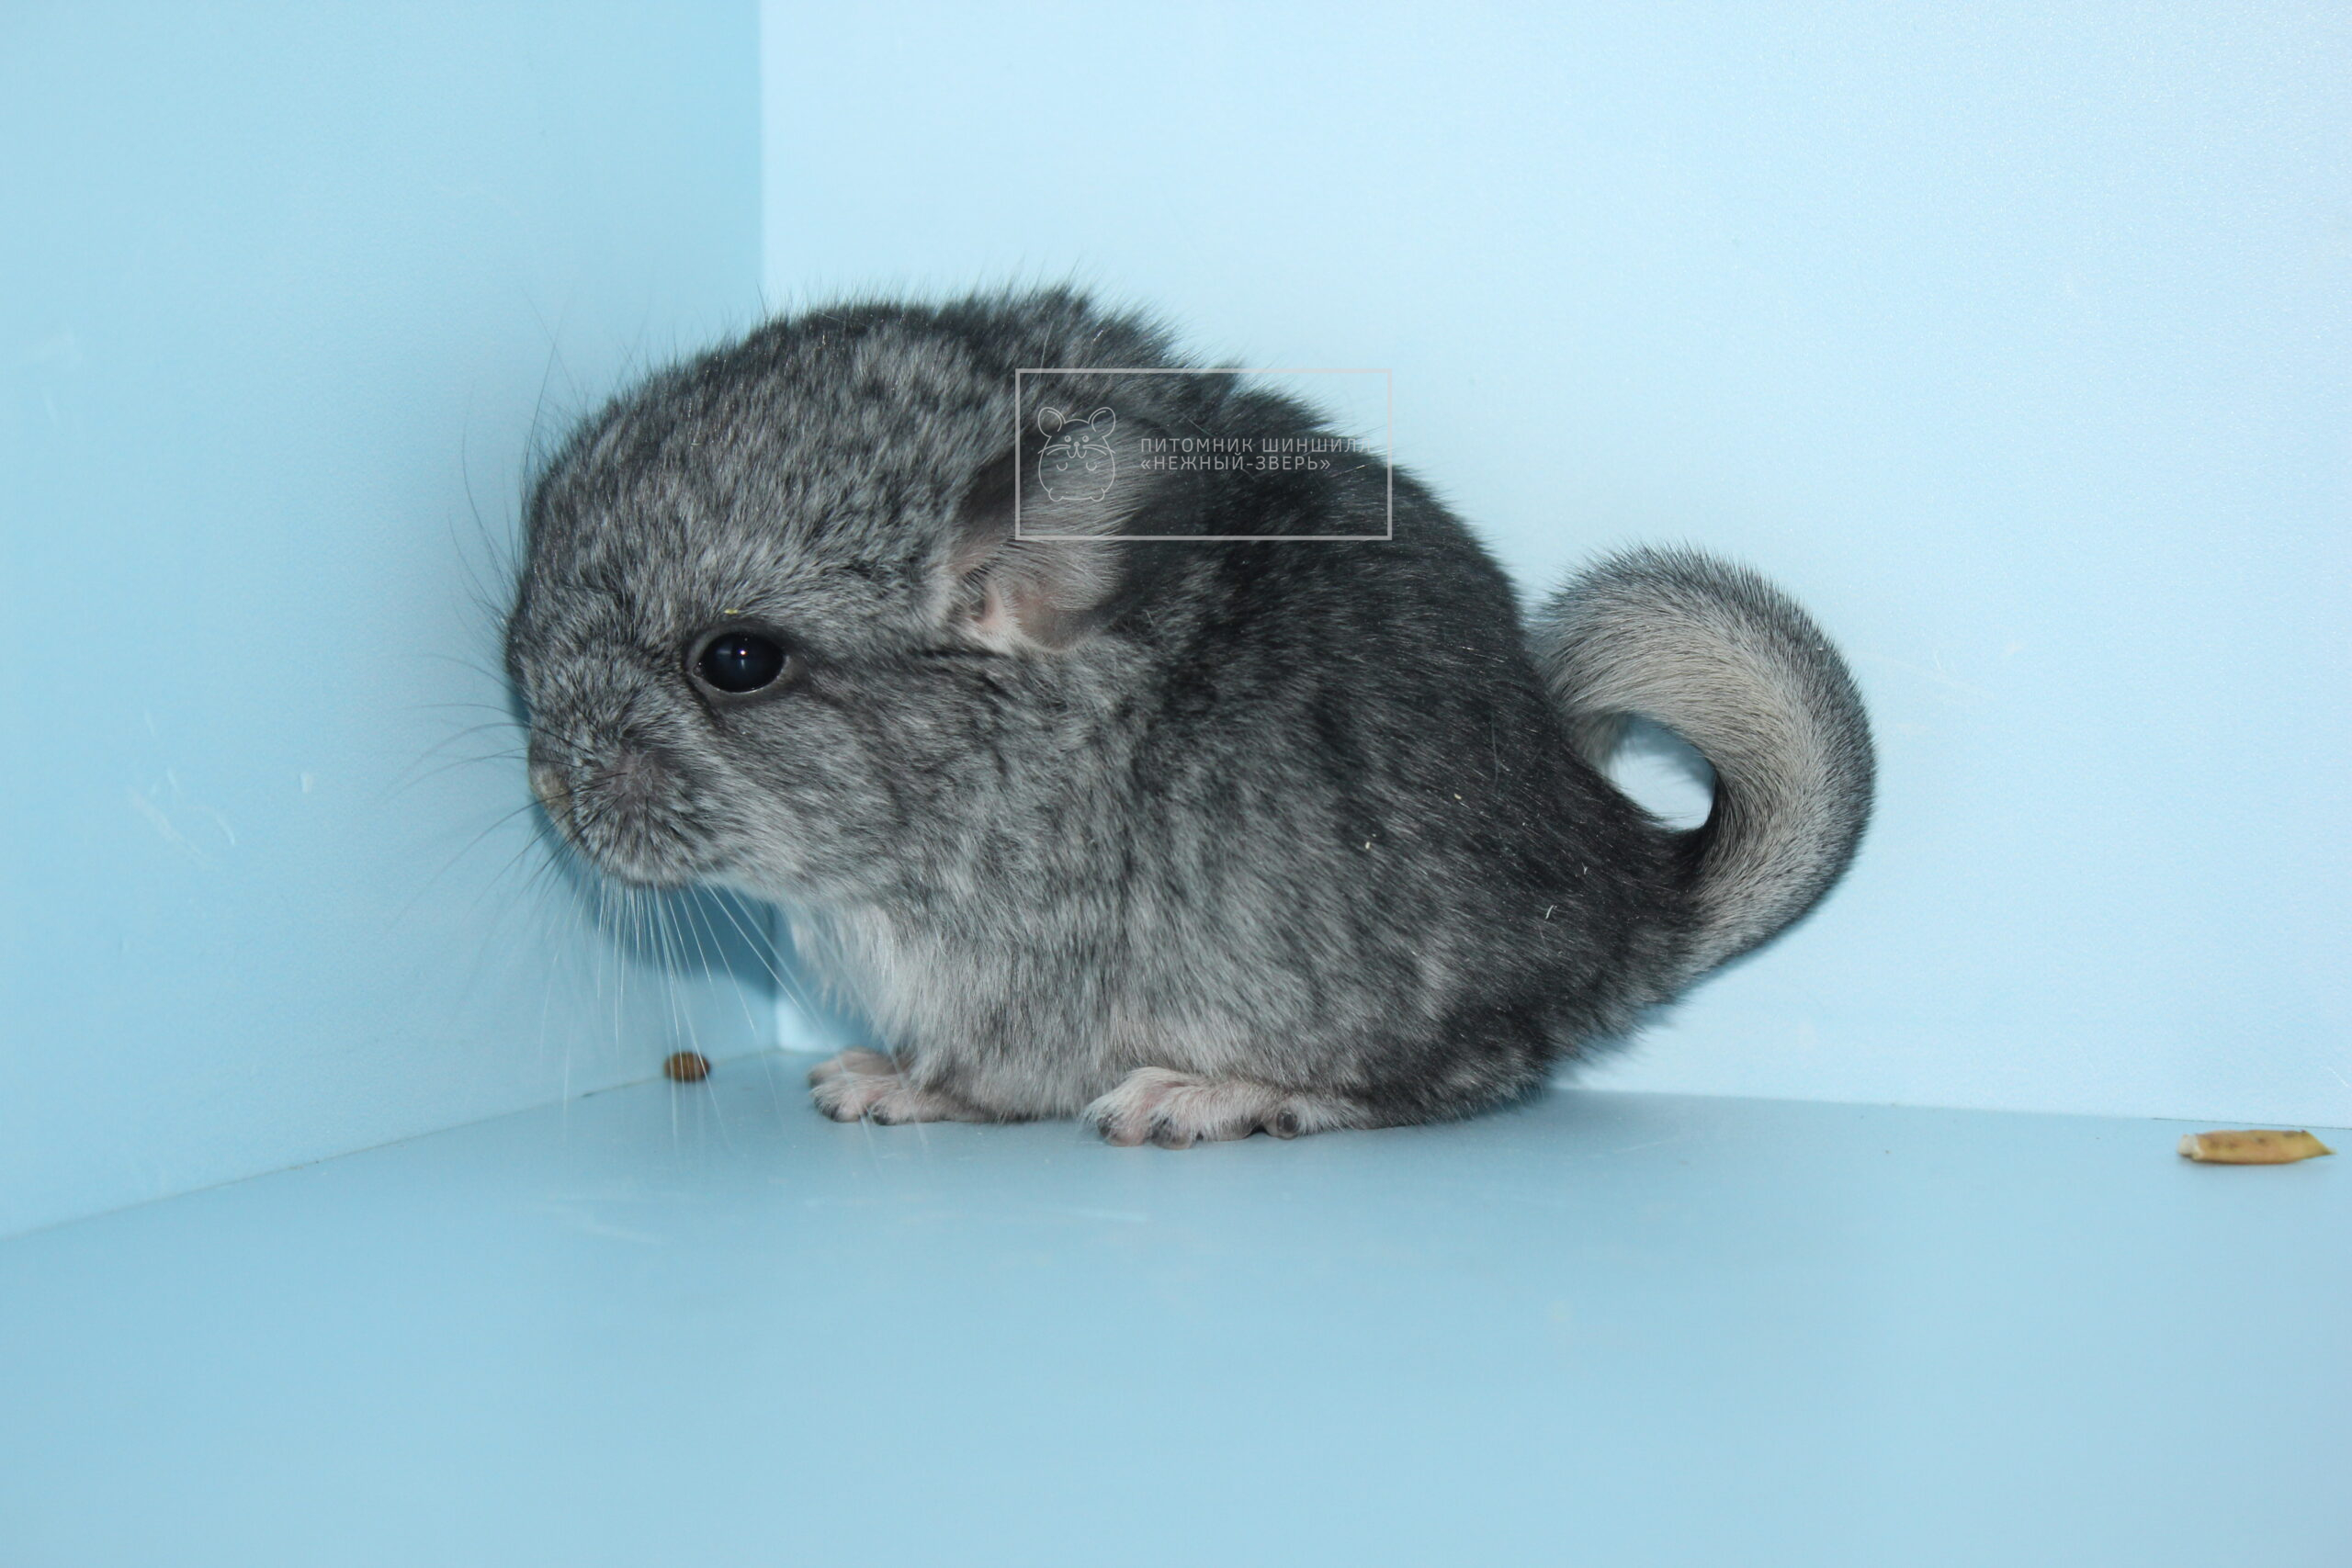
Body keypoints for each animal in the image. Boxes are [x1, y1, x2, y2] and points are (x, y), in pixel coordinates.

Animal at [504, 286, 1873, 1148]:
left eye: (736, 660)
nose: (550, 789)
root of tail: (1631, 896)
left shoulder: (1013, 985)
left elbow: (978, 1081)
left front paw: (874, 1086)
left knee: (1442, 1083)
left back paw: (1195, 1099)